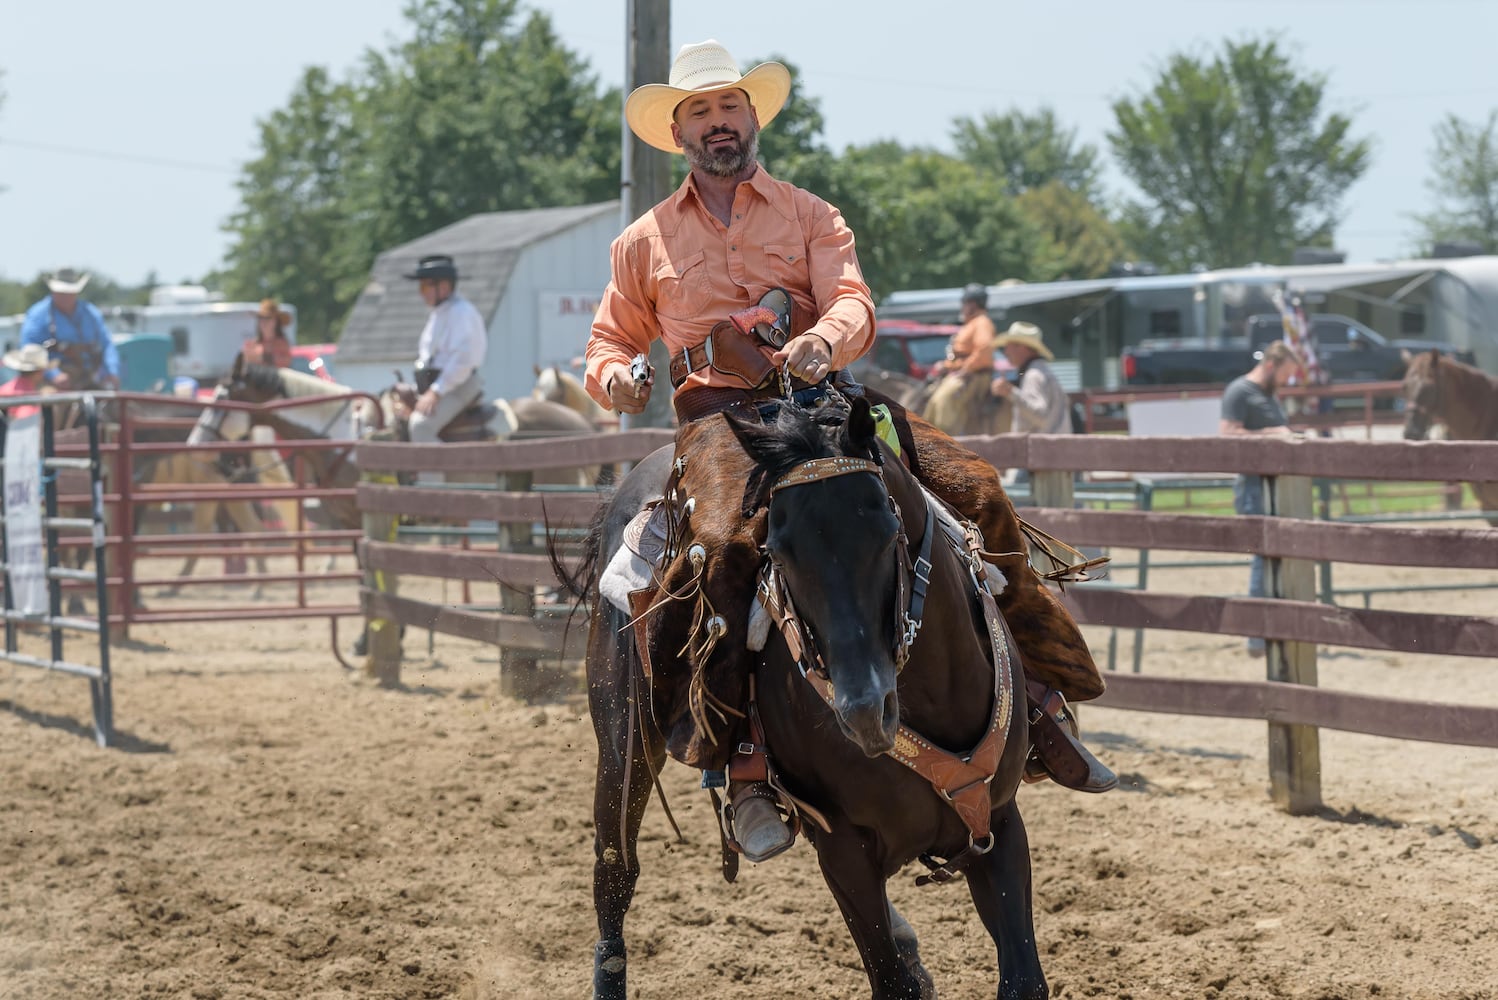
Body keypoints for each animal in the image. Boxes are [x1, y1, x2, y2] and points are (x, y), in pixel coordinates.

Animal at [572, 398, 1042, 999]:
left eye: (886, 528)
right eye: (776, 550)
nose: (863, 711)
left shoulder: (997, 823)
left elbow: (1023, 979)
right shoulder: (843, 851)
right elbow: (890, 980)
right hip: (623, 742)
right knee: (615, 866)